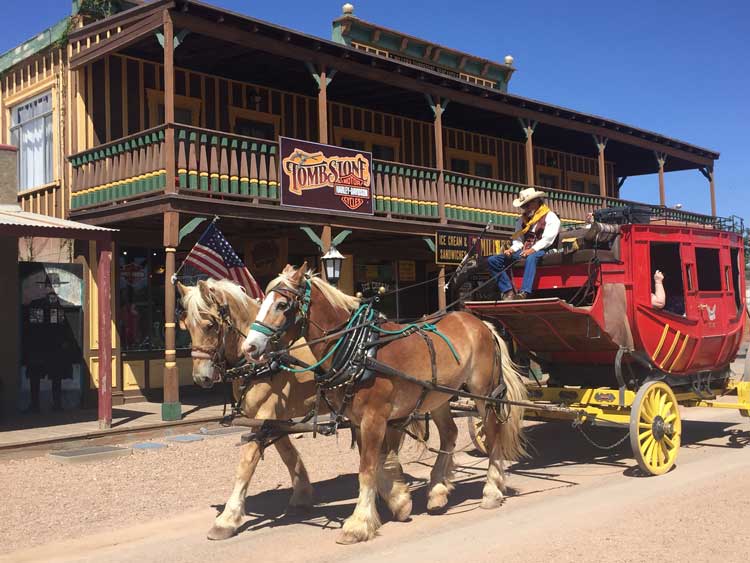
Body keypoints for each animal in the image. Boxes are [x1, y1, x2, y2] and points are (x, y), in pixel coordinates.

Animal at [178, 280, 412, 540]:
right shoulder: (270, 419)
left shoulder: (266, 412)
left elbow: (247, 462)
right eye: (187, 326)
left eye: (209, 325)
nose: (201, 377)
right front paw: (302, 494)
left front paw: (227, 518)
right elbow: (288, 454)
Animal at [242, 266, 528, 544]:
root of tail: (480, 323)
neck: (359, 349)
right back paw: (437, 490)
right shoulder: (359, 421)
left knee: (492, 432)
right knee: (449, 433)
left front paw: (358, 524)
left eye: (282, 305)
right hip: (438, 395)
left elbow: (367, 469)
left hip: (484, 393)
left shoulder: (374, 417)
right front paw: (399, 502)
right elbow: (376, 464)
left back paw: (491, 490)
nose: (250, 347)